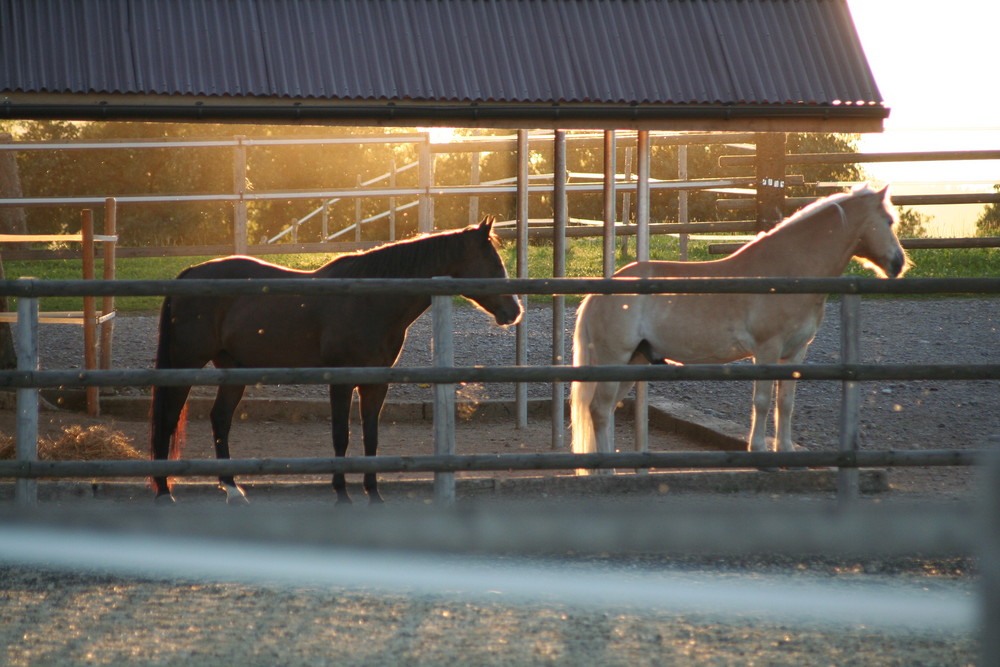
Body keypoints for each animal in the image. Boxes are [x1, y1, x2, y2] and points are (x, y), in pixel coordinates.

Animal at [152, 217, 524, 504]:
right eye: (494, 264)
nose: (514, 311)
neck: (369, 300)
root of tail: (188, 274)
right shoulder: (341, 381)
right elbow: (341, 435)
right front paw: (342, 493)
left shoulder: (376, 382)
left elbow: (371, 436)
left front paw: (374, 494)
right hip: (185, 364)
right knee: (168, 419)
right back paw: (164, 490)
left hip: (233, 369)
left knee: (220, 419)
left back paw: (231, 489)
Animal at [572, 185, 908, 468]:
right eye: (889, 221)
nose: (899, 264)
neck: (788, 271)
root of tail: (600, 291)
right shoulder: (767, 350)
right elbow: (762, 402)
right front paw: (759, 452)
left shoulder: (795, 352)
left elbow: (785, 403)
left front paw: (786, 453)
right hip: (614, 359)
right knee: (599, 409)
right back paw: (606, 469)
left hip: (635, 361)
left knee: (606, 409)